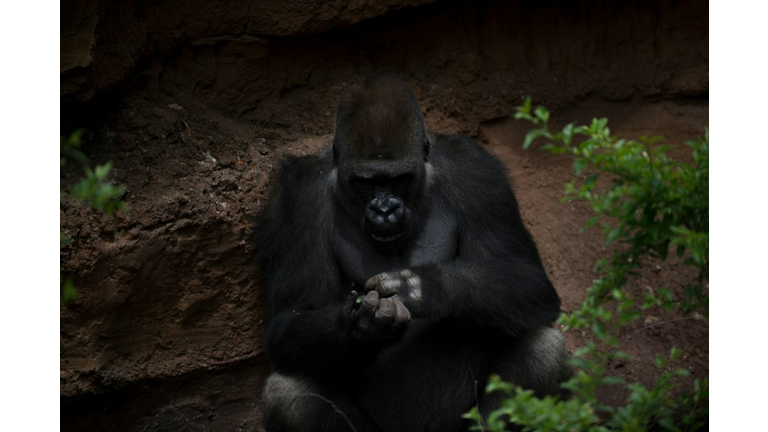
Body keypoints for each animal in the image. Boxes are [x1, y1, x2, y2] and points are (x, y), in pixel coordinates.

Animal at [258, 75, 568, 432]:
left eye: (399, 180)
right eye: (365, 182)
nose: (385, 210)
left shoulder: (477, 172)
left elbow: (528, 278)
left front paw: (426, 288)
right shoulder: (297, 197)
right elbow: (291, 317)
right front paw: (362, 327)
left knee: (543, 350)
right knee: (289, 392)